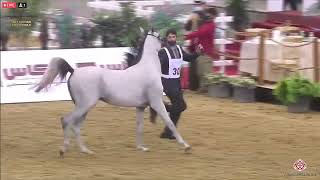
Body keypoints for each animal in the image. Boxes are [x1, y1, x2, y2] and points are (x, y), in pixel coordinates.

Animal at [33, 29, 190, 156]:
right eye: (160, 36)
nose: (171, 43)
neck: (148, 68)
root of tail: (73, 70)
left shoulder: (141, 106)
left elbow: (139, 127)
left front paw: (142, 148)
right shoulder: (156, 103)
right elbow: (169, 122)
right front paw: (185, 146)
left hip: (84, 107)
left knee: (76, 126)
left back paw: (86, 151)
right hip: (84, 105)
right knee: (66, 121)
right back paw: (63, 150)